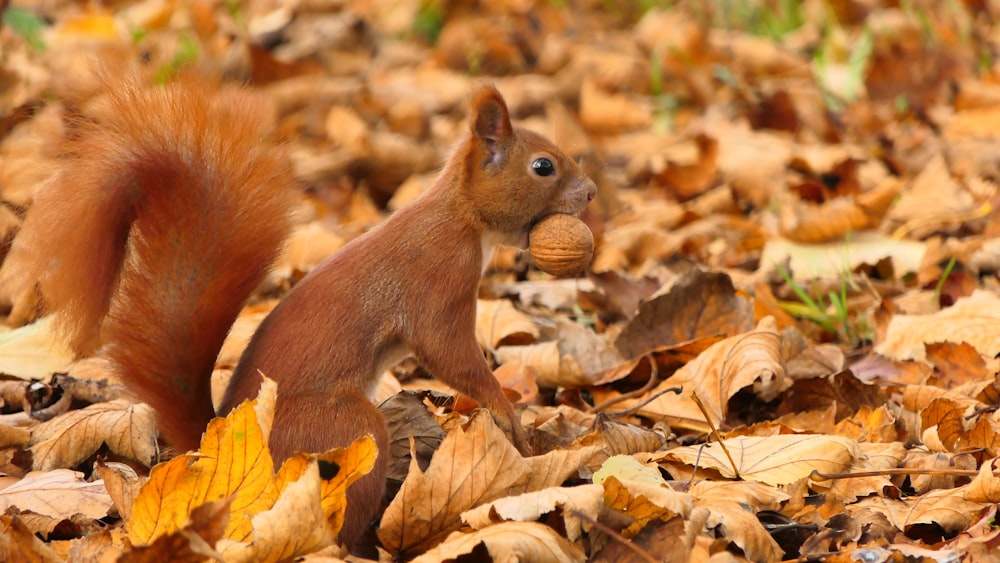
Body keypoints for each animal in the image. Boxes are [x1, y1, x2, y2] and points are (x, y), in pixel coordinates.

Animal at [7, 74, 596, 548]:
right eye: (542, 166)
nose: (590, 193)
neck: (461, 216)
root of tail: (224, 443)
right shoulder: (439, 283)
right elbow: (451, 355)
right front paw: (506, 412)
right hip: (340, 427)